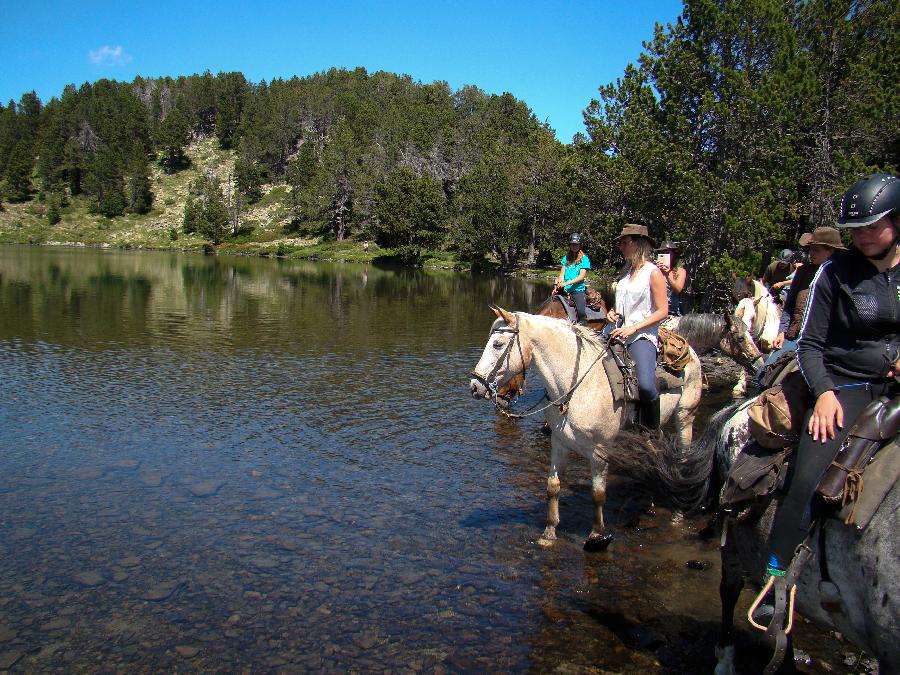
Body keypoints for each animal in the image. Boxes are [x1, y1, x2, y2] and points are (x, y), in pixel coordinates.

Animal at [468, 308, 708, 552]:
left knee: (682, 459)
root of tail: (691, 351)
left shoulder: (600, 451)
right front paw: (549, 532)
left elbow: (598, 494)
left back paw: (678, 512)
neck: (577, 386)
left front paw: (597, 535)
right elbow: (553, 487)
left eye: (498, 344)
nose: (475, 386)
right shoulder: (559, 442)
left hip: (684, 417)